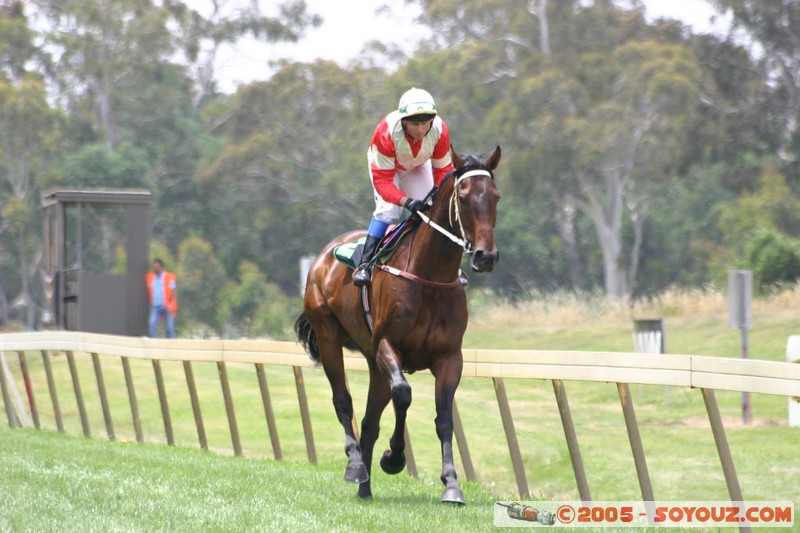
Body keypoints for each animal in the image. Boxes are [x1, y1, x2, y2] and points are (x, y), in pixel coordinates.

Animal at [294, 146, 501, 504]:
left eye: (496, 196)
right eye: (462, 198)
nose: (485, 256)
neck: (429, 276)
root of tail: (322, 256)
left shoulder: (449, 357)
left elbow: (444, 418)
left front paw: (451, 484)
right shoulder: (388, 346)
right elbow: (403, 394)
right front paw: (393, 458)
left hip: (372, 361)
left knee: (369, 421)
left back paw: (365, 486)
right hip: (329, 335)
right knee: (343, 401)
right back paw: (355, 465)